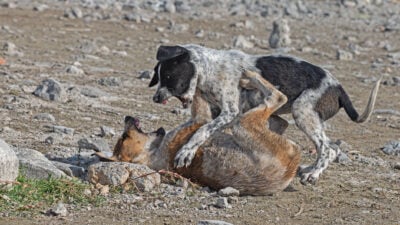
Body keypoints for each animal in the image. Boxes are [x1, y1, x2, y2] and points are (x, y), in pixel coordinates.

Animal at [97, 71, 302, 196]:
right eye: (124, 137)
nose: (127, 117)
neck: (152, 155)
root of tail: (288, 170)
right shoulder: (200, 119)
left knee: (280, 118)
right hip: (244, 124)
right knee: (277, 98)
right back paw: (249, 77)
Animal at [149, 44, 382, 185]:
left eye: (169, 76)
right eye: (157, 77)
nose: (155, 98)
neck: (210, 69)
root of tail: (338, 88)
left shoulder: (229, 113)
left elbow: (201, 131)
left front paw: (186, 151)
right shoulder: (217, 113)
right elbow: (193, 129)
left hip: (302, 111)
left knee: (328, 148)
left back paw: (313, 173)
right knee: (330, 147)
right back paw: (310, 168)